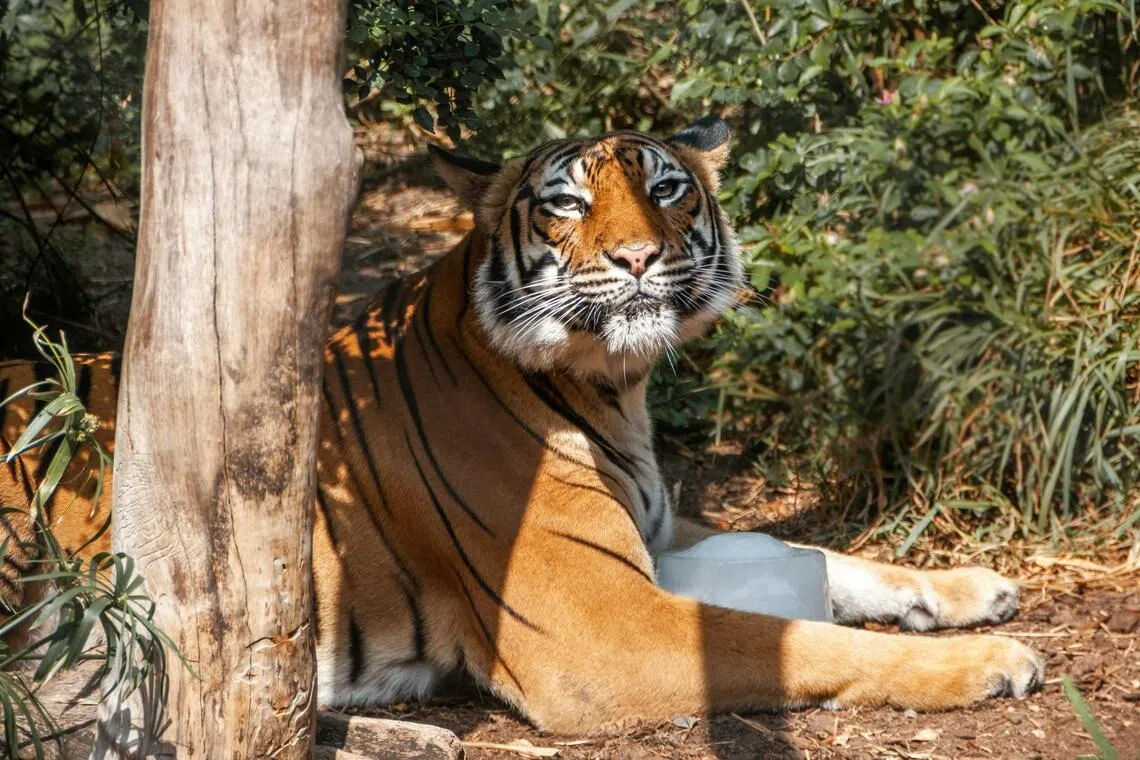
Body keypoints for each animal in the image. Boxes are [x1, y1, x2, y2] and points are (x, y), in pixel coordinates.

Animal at [0, 118, 1043, 733]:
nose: (636, 258)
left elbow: (825, 556)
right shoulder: (596, 628)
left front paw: (968, 589)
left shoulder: (659, 528)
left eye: (667, 189)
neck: (616, 387)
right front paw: (991, 661)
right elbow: (792, 639)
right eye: (568, 202)